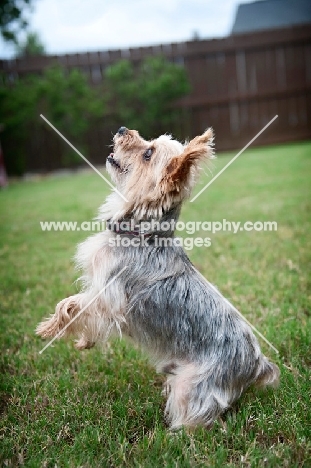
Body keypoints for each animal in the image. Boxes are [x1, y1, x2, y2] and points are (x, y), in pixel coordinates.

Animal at [37, 126, 280, 430]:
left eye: (148, 153)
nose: (122, 129)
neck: (141, 233)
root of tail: (257, 364)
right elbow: (80, 311)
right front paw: (85, 341)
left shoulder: (109, 297)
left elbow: (69, 305)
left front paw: (48, 329)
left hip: (194, 384)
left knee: (200, 421)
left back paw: (176, 435)